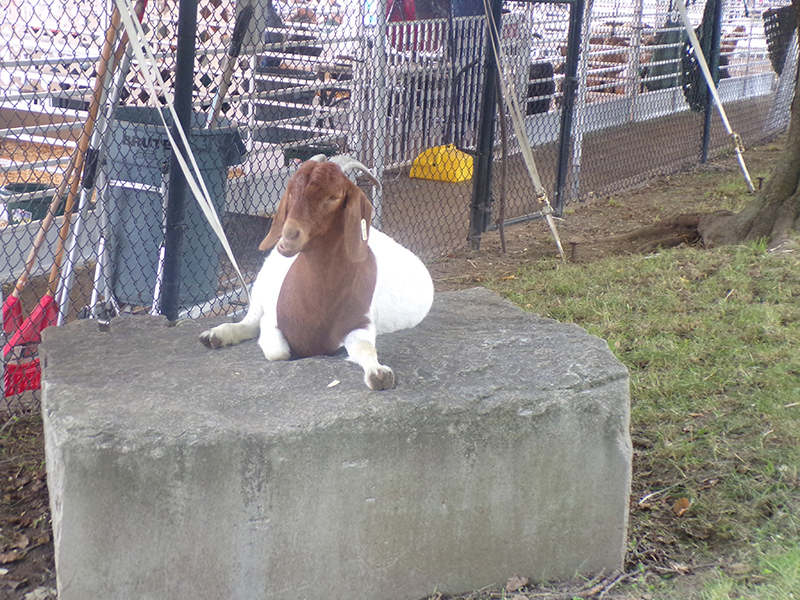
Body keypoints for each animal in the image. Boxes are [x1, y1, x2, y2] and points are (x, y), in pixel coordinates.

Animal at [203, 156, 434, 390]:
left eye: (334, 196)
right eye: (290, 191)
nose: (288, 236)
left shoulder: (360, 324)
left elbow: (365, 347)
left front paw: (379, 374)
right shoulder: (272, 320)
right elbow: (278, 351)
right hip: (260, 286)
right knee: (250, 321)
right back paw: (215, 335)